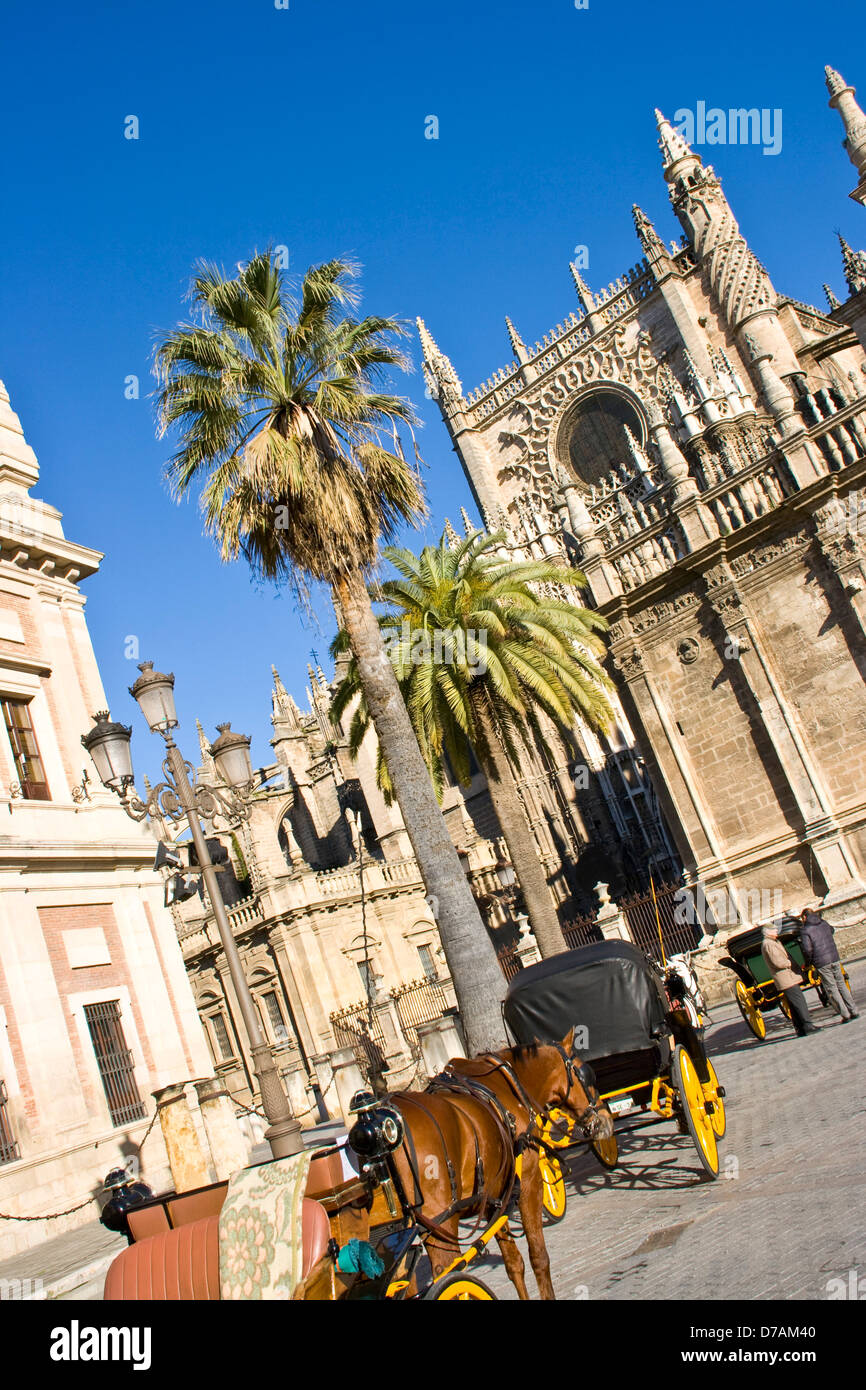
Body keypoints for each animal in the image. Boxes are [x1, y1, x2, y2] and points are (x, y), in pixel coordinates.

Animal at [389, 1034, 614, 1301]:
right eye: (586, 1073)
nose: (606, 1120)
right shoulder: (529, 1184)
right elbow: (538, 1256)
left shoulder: (494, 1199)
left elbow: (513, 1262)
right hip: (440, 1224)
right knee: (446, 1275)